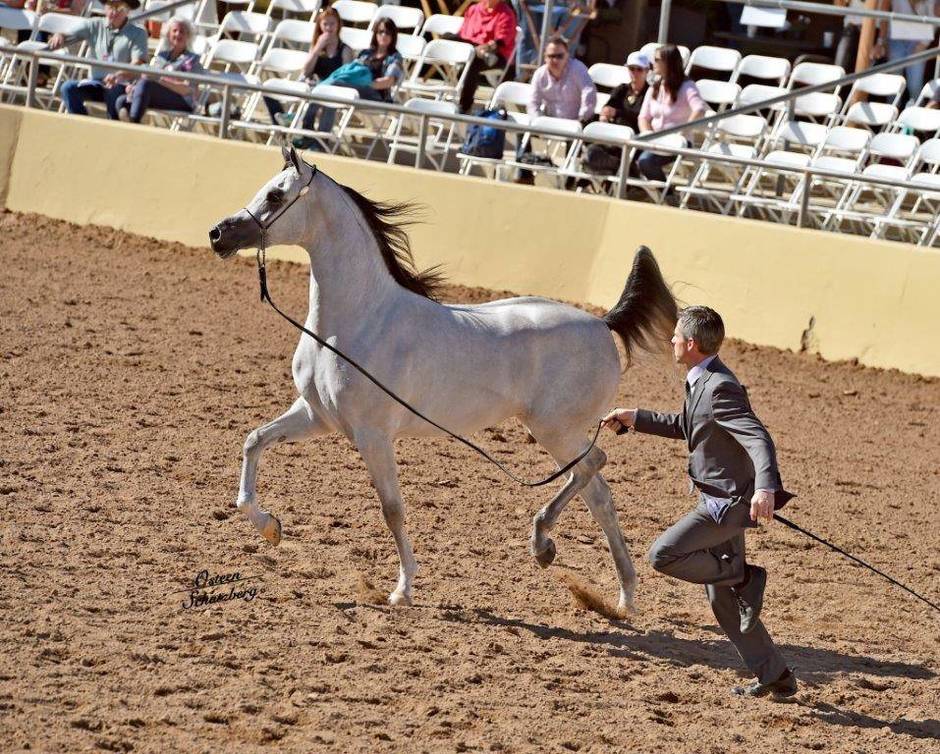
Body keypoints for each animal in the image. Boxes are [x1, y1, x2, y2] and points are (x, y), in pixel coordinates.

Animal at [209, 146, 677, 611]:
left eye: (275, 195)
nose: (218, 235)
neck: (357, 320)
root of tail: (603, 324)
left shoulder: (373, 434)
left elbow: (392, 509)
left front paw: (402, 590)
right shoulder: (316, 416)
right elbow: (254, 440)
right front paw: (270, 527)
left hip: (556, 430)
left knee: (594, 468)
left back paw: (545, 545)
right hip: (559, 434)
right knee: (599, 496)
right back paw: (622, 597)